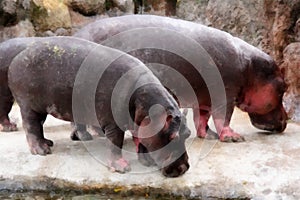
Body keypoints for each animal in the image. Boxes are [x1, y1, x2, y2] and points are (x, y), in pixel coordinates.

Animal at [4, 36, 190, 177]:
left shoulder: (141, 123)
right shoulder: (113, 124)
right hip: (28, 105)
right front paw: (122, 168)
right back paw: (42, 150)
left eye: (187, 134)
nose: (184, 168)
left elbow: (142, 141)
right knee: (31, 126)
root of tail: (18, 57)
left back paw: (48, 143)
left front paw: (147, 162)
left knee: (38, 126)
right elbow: (116, 143)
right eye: (172, 137)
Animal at [74, 14, 288, 142]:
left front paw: (208, 136)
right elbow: (223, 117)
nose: (285, 120)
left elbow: (201, 118)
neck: (251, 68)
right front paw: (234, 137)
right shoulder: (226, 93)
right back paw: (92, 135)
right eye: (283, 88)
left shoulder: (204, 97)